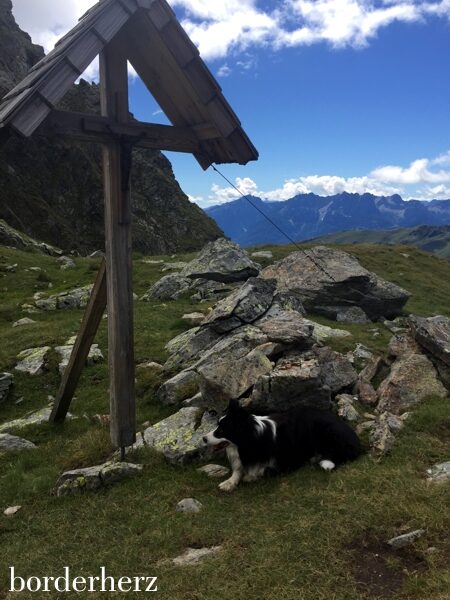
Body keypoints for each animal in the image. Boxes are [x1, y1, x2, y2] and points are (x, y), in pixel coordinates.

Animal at [204, 398, 362, 492]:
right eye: (217, 425)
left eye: (222, 430)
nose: (204, 438)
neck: (254, 438)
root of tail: (357, 443)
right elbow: (238, 469)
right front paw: (229, 482)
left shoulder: (288, 461)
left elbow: (263, 469)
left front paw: (250, 476)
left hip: (327, 431)